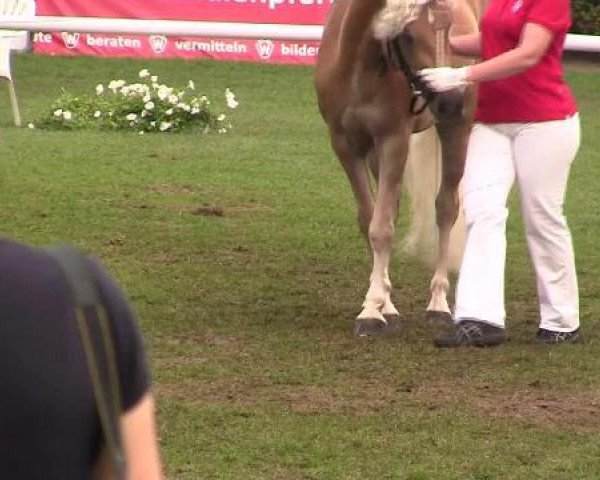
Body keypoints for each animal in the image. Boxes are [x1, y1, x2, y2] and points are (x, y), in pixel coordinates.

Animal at [316, 0, 480, 334]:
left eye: (449, 26)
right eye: (407, 35)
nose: (451, 101)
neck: (358, 64)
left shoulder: (394, 141)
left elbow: (382, 228)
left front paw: (370, 312)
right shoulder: (346, 146)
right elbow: (371, 220)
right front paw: (383, 306)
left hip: (456, 133)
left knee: (446, 209)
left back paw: (438, 304)